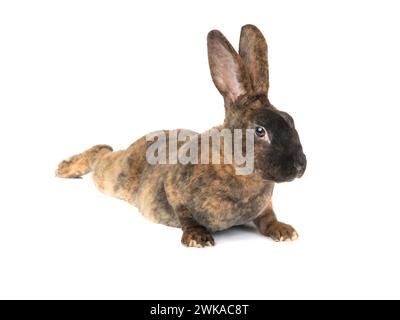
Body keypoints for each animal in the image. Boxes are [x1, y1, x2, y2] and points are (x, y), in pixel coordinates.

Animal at [56, 25, 306, 249]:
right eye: (260, 131)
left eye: (290, 120)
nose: (300, 166)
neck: (235, 167)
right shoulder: (174, 186)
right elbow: (185, 215)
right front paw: (198, 238)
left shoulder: (265, 206)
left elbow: (268, 219)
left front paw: (285, 232)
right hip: (113, 176)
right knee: (101, 153)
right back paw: (65, 168)